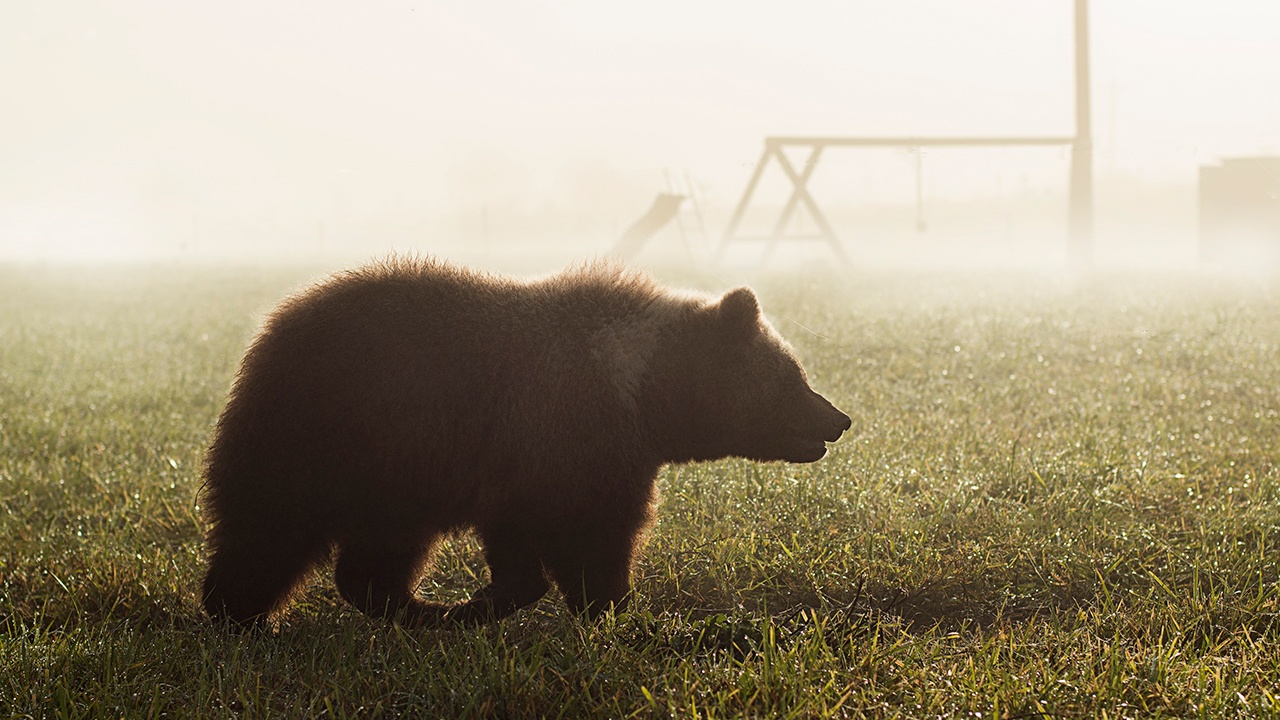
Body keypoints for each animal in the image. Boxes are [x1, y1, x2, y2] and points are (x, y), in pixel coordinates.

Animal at [199, 254, 849, 625]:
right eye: (792, 375)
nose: (837, 419)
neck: (646, 394)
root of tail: (270, 334)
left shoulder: (527, 462)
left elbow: (525, 539)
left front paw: (493, 599)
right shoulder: (570, 436)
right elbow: (592, 534)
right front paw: (609, 606)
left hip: (389, 473)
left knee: (368, 553)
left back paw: (415, 609)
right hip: (336, 438)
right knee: (270, 532)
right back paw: (241, 615)